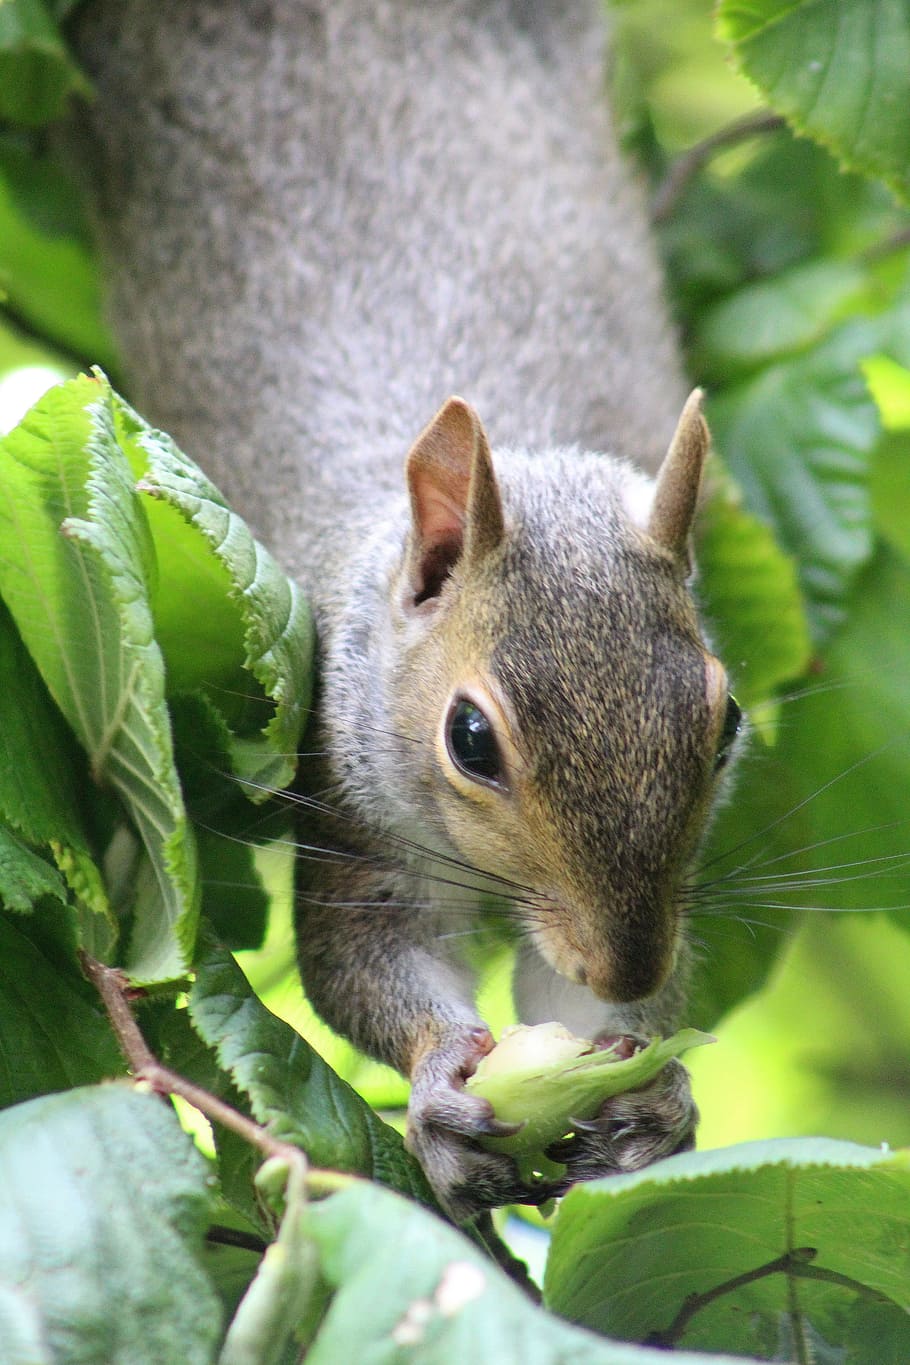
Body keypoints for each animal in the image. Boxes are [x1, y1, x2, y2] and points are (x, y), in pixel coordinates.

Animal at [67, 0, 743, 1219]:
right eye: (468, 738)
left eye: (727, 726)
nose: (629, 963)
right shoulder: (343, 791)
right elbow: (358, 966)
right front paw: (436, 1092)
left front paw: (654, 1097)